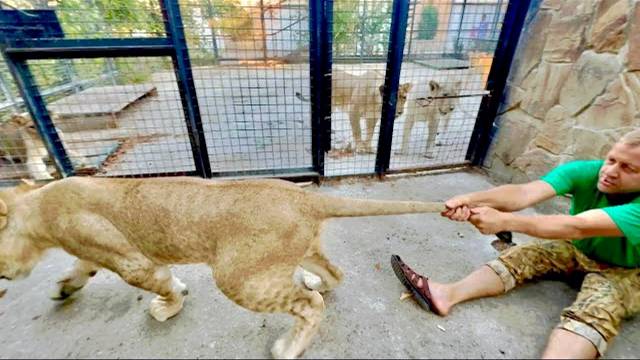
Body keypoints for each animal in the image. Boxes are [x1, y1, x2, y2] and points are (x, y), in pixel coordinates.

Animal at [0, 176, 444, 358]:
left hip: (236, 276)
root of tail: (305, 197)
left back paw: (289, 348)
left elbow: (161, 282)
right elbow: (79, 268)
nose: (4, 278)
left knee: (308, 306)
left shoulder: (133, 262)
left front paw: (169, 305)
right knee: (335, 276)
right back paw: (317, 282)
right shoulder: (95, 253)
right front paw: (63, 288)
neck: (38, 207)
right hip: (305, 249)